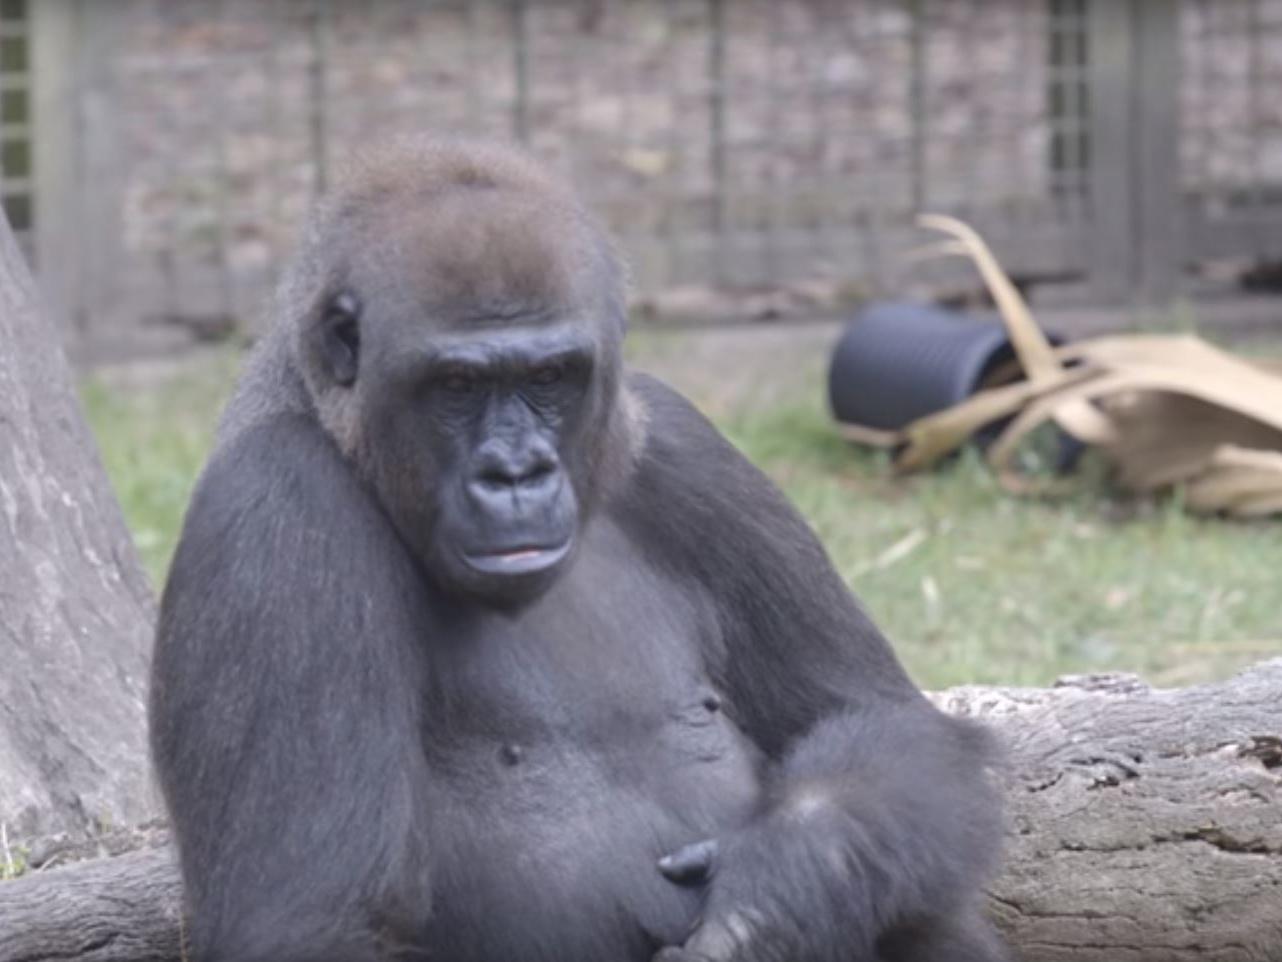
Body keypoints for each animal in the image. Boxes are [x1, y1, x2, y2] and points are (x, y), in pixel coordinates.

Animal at [149, 137, 1005, 962]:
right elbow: (313, 923)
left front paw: (776, 893)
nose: (516, 472)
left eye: (551, 376)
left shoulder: (680, 441)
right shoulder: (275, 500)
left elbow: (880, 717)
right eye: (456, 386)